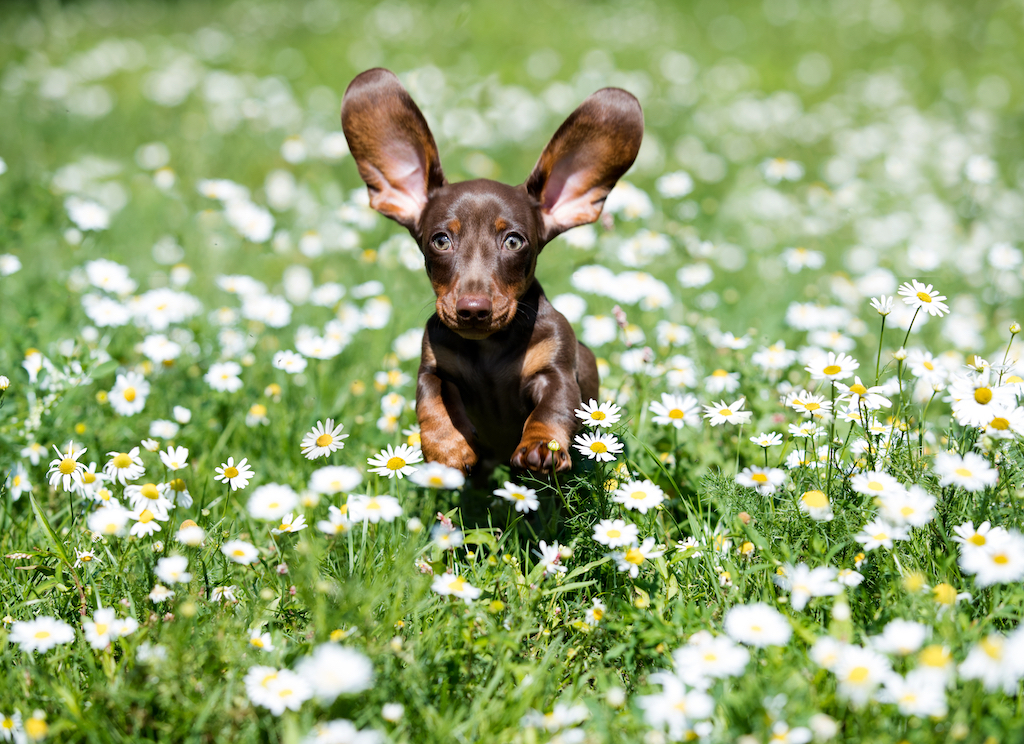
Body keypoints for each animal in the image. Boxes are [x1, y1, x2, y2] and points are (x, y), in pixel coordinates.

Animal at [342, 71, 638, 476]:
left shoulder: (557, 371)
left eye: (513, 241)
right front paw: (448, 448)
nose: (473, 310)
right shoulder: (434, 368)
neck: (489, 348)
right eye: (441, 240)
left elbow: (552, 409)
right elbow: (431, 400)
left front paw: (540, 446)